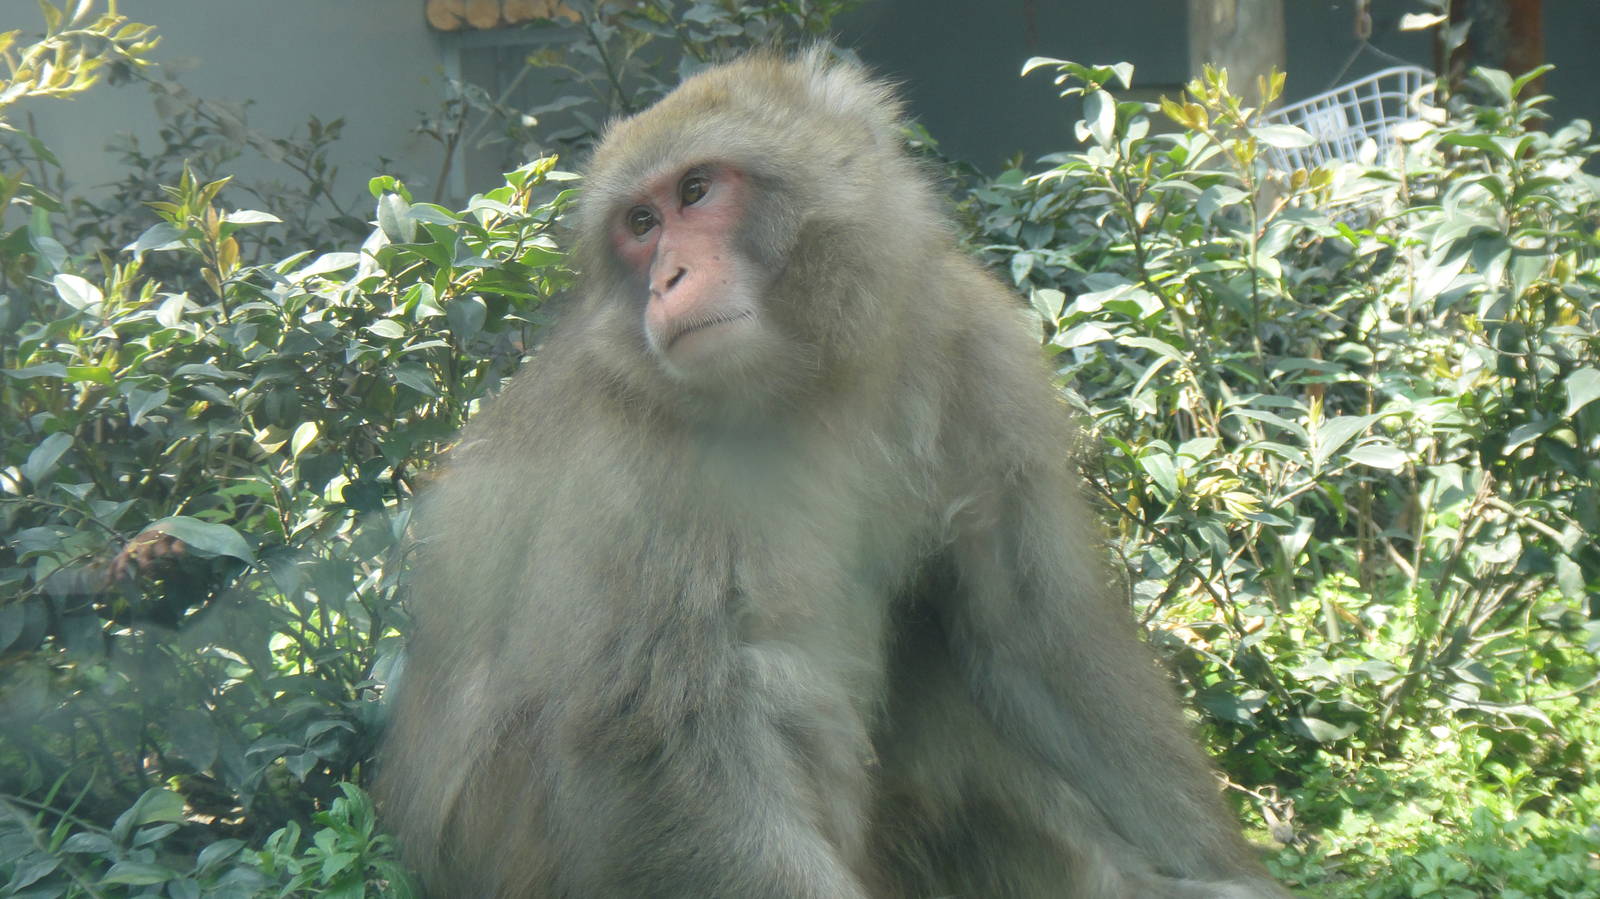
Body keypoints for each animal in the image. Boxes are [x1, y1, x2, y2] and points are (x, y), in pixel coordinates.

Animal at [378, 51, 1291, 899]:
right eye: (640, 223)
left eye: (697, 191)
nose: (667, 278)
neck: (814, 383)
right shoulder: (636, 463)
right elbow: (652, 737)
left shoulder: (972, 342)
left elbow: (1036, 638)